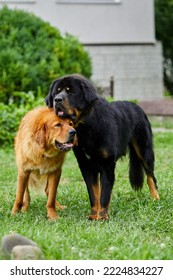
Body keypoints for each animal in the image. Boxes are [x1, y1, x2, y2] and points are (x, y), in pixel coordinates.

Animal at [45, 74, 160, 221]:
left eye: (71, 92)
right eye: (56, 92)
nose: (57, 99)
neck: (85, 126)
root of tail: (137, 106)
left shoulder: (107, 165)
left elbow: (104, 194)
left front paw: (103, 217)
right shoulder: (86, 166)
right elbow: (94, 193)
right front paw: (94, 215)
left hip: (144, 150)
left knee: (151, 176)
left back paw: (155, 198)